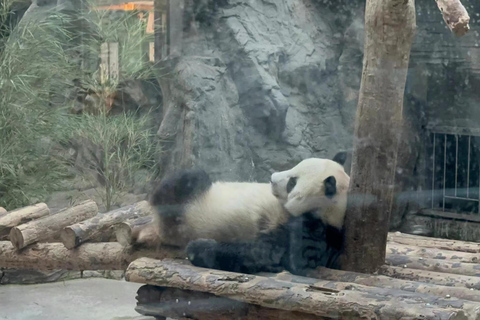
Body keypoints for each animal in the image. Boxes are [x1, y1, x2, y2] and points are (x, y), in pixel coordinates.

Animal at [149, 152, 348, 276]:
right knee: (190, 178)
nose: (272, 178)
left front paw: (198, 248)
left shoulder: (313, 229)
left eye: (292, 182)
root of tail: (161, 228)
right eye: (294, 166)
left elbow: (263, 252)